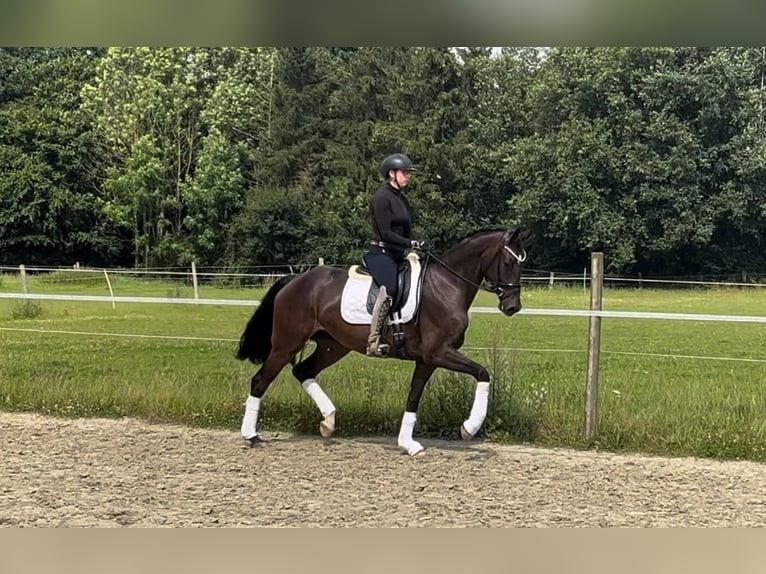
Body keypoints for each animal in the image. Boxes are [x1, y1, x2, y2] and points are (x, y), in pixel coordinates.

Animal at [237, 227, 532, 456]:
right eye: (509, 263)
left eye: (521, 263)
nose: (512, 307)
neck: (447, 286)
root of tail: (295, 280)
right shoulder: (439, 353)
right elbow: (483, 373)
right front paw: (469, 428)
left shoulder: (427, 360)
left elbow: (413, 396)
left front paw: (408, 443)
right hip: (286, 345)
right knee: (260, 380)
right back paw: (251, 436)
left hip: (333, 346)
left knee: (303, 370)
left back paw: (328, 422)